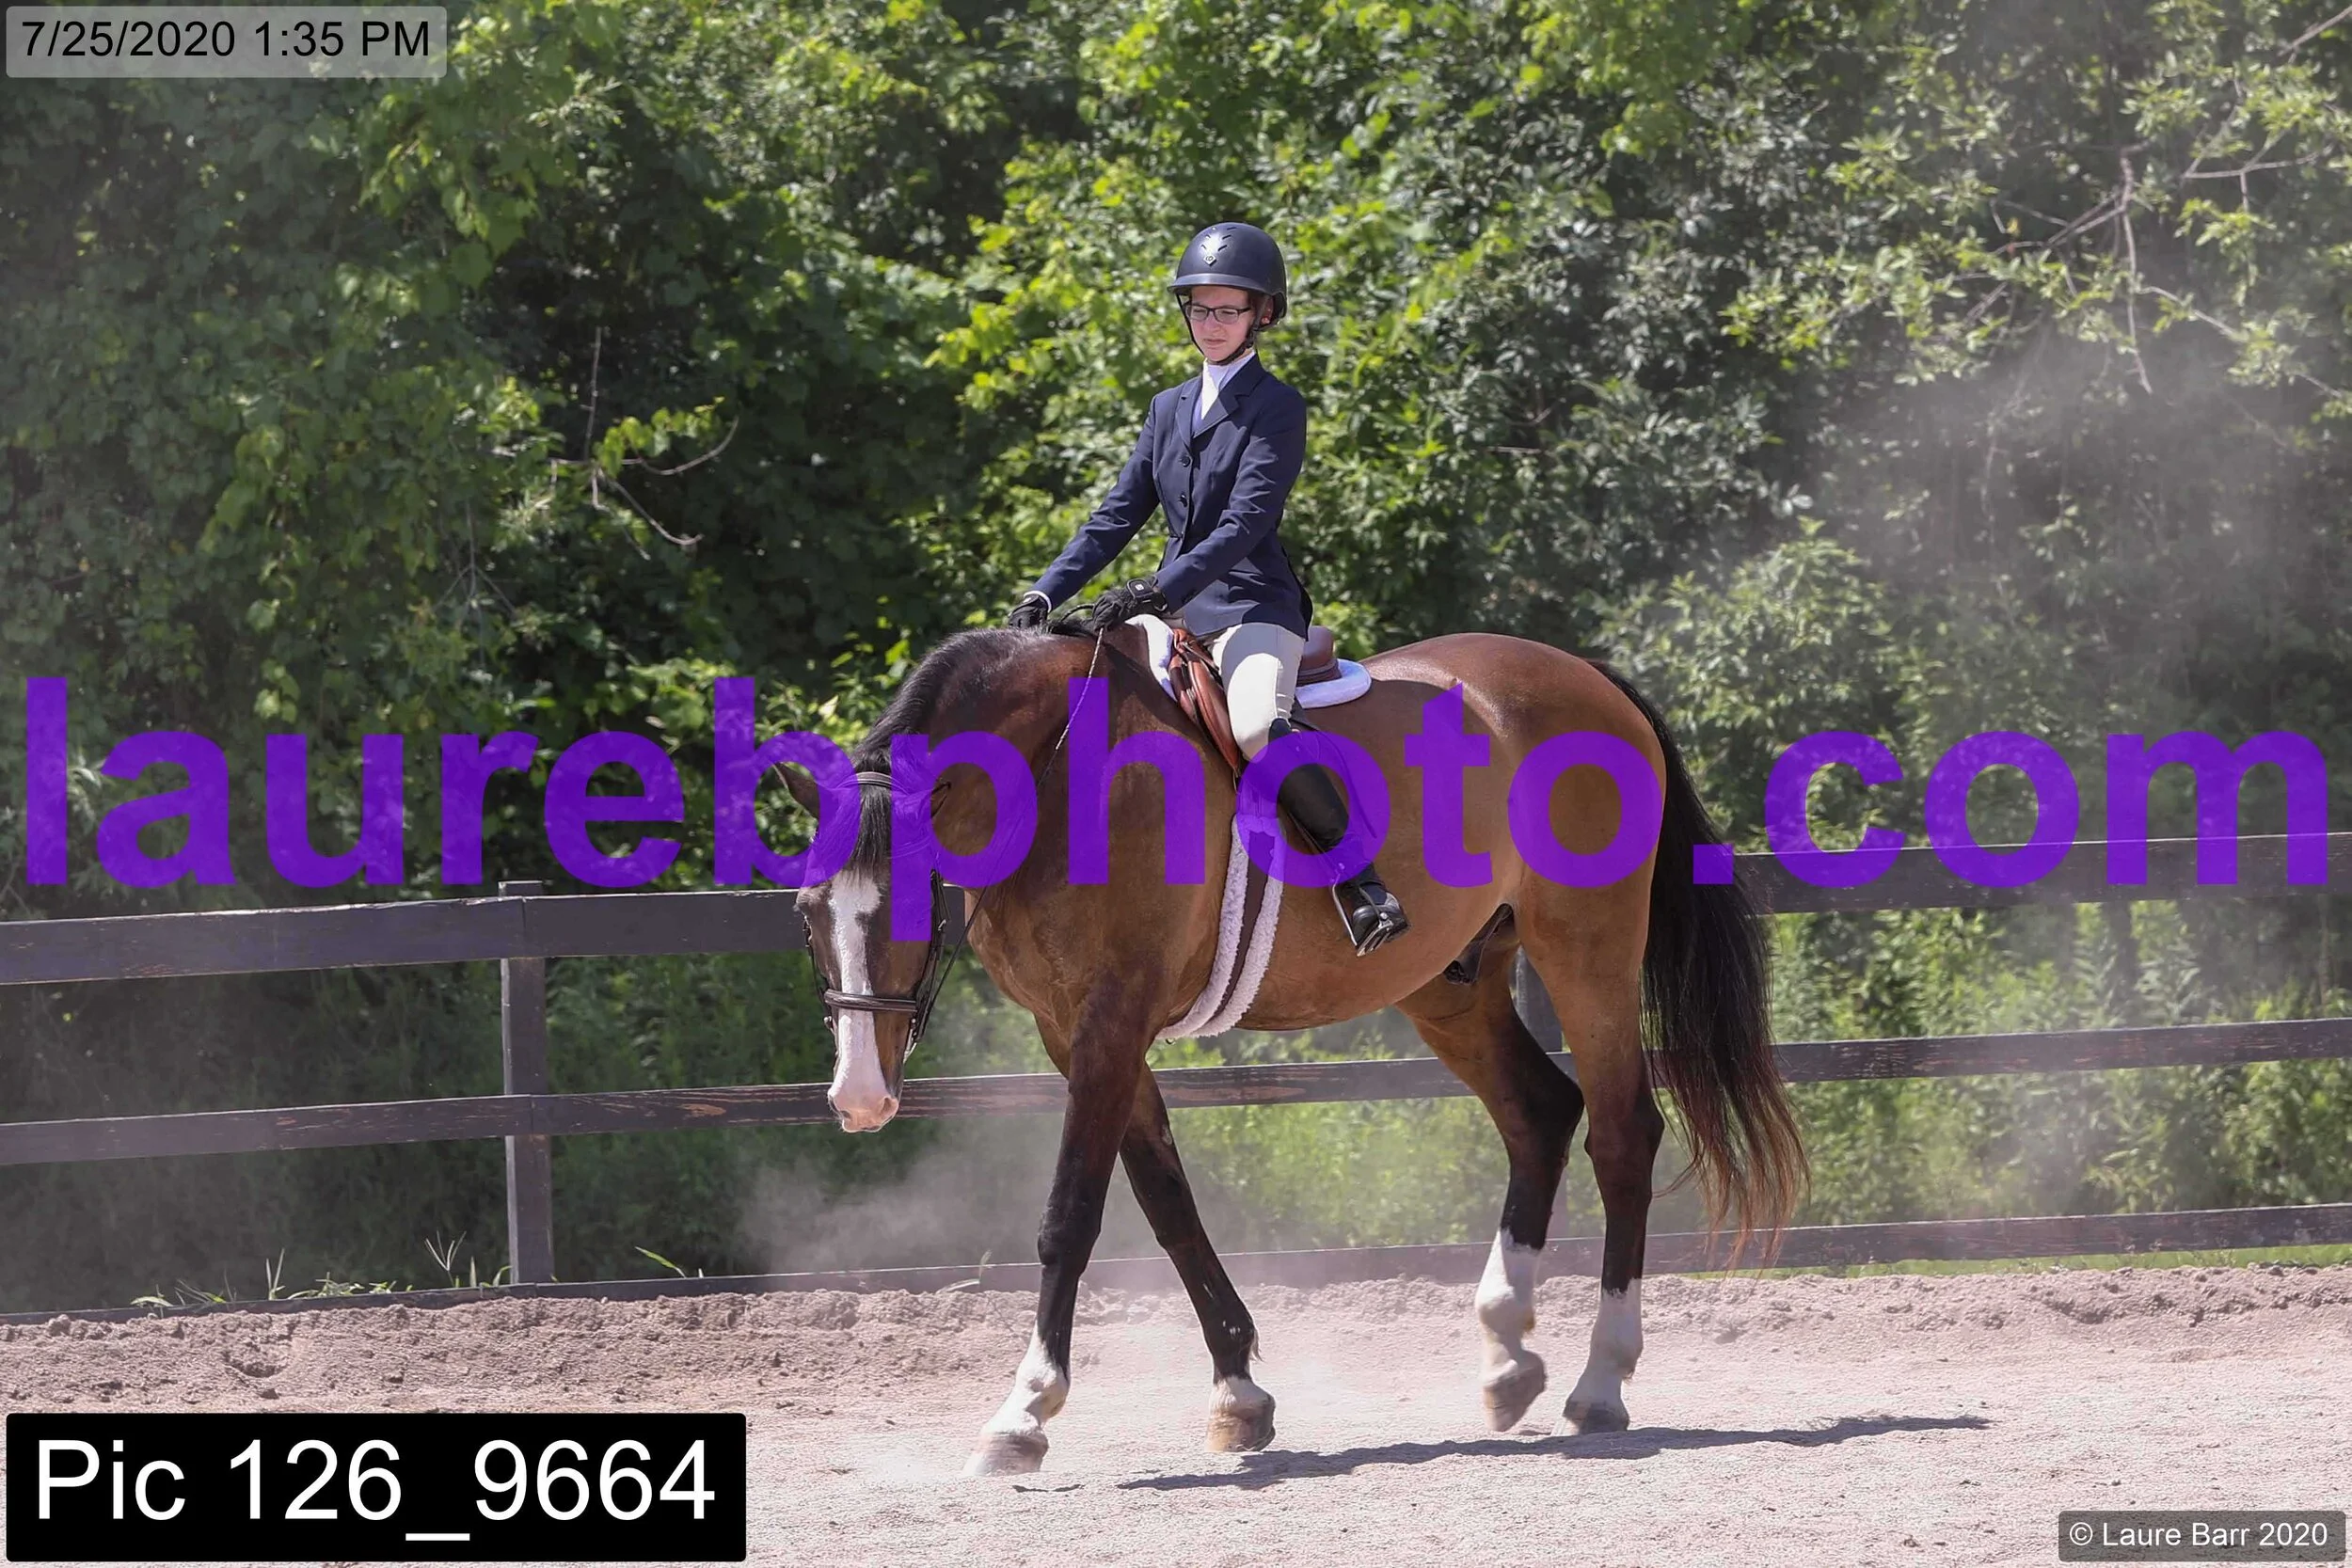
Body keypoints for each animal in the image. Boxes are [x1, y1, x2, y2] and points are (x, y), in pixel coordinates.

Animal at [780, 620, 1804, 1477]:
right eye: (805, 911)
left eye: (910, 907)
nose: (859, 1098)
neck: (1060, 771)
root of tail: (1585, 675)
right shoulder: (1076, 1031)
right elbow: (1169, 1205)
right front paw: (1239, 1393)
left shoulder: (1112, 1018)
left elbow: (1069, 1216)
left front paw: (1023, 1412)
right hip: (1455, 982)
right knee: (1540, 1113)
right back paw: (1507, 1357)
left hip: (1586, 950)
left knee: (1623, 1133)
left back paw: (1600, 1381)